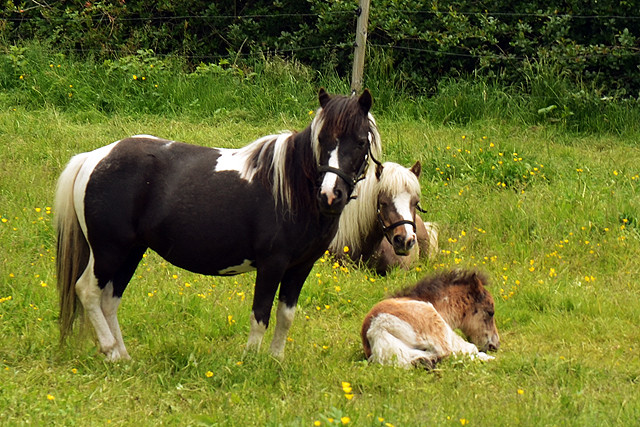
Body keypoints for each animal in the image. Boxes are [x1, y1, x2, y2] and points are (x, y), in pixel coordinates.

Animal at [56, 89, 380, 362]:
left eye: (361, 142)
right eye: (322, 139)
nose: (330, 195)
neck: (292, 186)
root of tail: (94, 157)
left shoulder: (301, 266)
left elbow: (286, 315)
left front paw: (275, 361)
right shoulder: (272, 263)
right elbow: (260, 314)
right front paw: (250, 363)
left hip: (131, 251)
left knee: (109, 300)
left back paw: (122, 357)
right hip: (108, 251)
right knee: (87, 291)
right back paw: (110, 349)